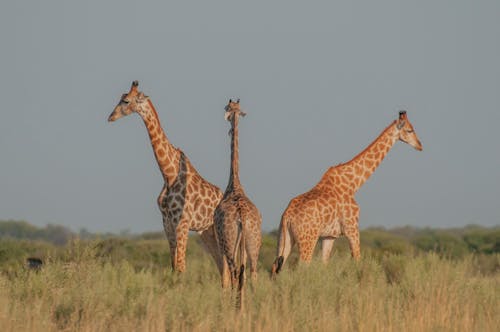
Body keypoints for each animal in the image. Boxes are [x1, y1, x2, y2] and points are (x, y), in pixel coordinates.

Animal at [109, 80, 223, 272]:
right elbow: (173, 267)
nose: (110, 117)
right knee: (224, 266)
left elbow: (181, 267)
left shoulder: (182, 223)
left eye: (126, 101)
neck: (169, 175)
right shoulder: (168, 224)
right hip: (206, 231)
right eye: (121, 98)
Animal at [214, 98, 264, 294]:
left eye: (227, 108)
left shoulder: (221, 243)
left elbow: (225, 279)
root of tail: (242, 216)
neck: (234, 183)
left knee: (235, 273)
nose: (227, 117)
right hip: (253, 241)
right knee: (252, 273)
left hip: (229, 243)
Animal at [274, 110, 422, 274]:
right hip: (307, 239)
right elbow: (357, 260)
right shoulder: (352, 228)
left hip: (285, 238)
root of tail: (287, 216)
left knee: (276, 266)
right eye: (410, 130)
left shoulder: (329, 236)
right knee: (302, 267)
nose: (420, 145)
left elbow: (324, 264)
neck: (353, 184)